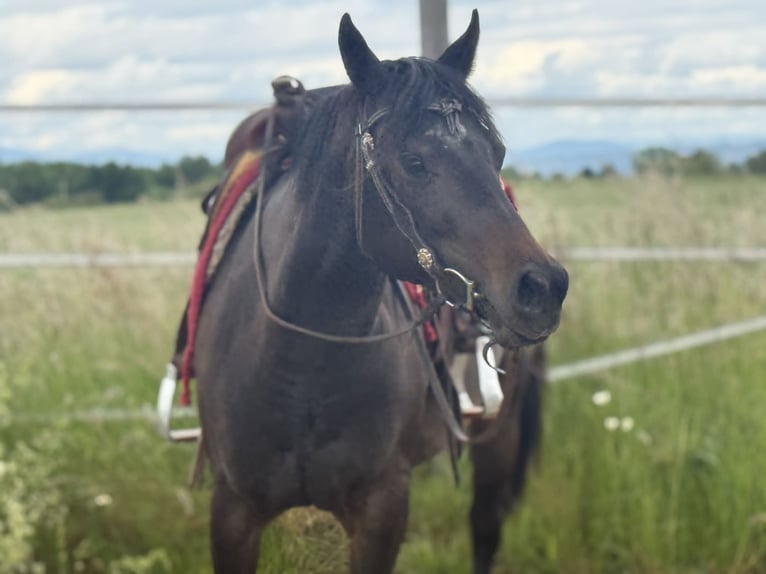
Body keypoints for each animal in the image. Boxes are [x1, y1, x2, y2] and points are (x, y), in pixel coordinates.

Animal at [193, 10, 567, 573]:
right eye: (413, 162)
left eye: (497, 153)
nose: (543, 287)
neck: (298, 364)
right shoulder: (233, 512)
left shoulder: (381, 511)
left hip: (496, 441)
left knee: (484, 528)